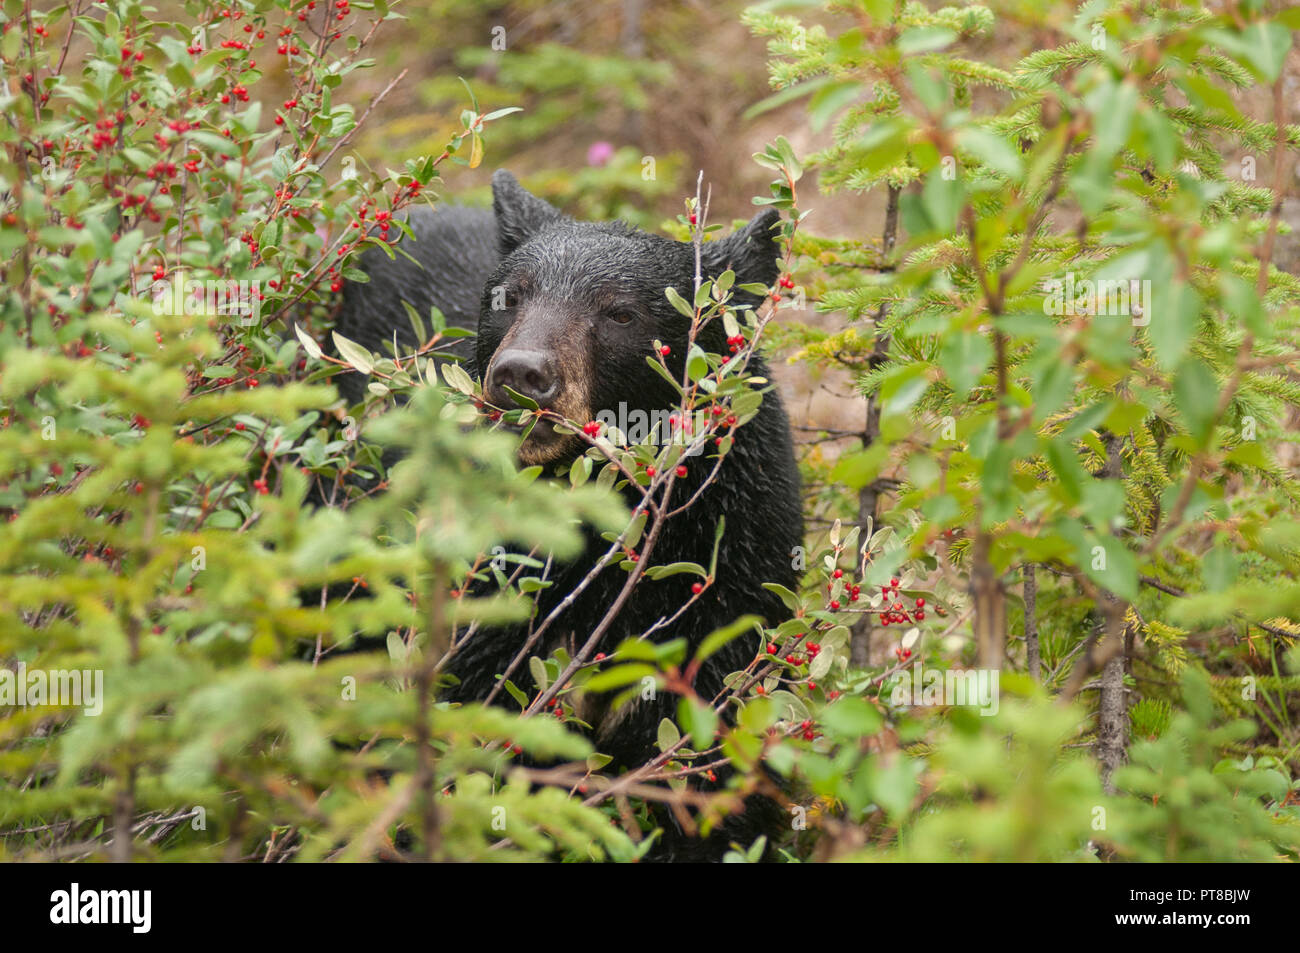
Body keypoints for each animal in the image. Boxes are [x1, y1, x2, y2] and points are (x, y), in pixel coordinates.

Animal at [336, 171, 803, 861]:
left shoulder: (736, 579)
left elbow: (710, 771)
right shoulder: (492, 600)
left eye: (621, 313)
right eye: (508, 297)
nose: (520, 373)